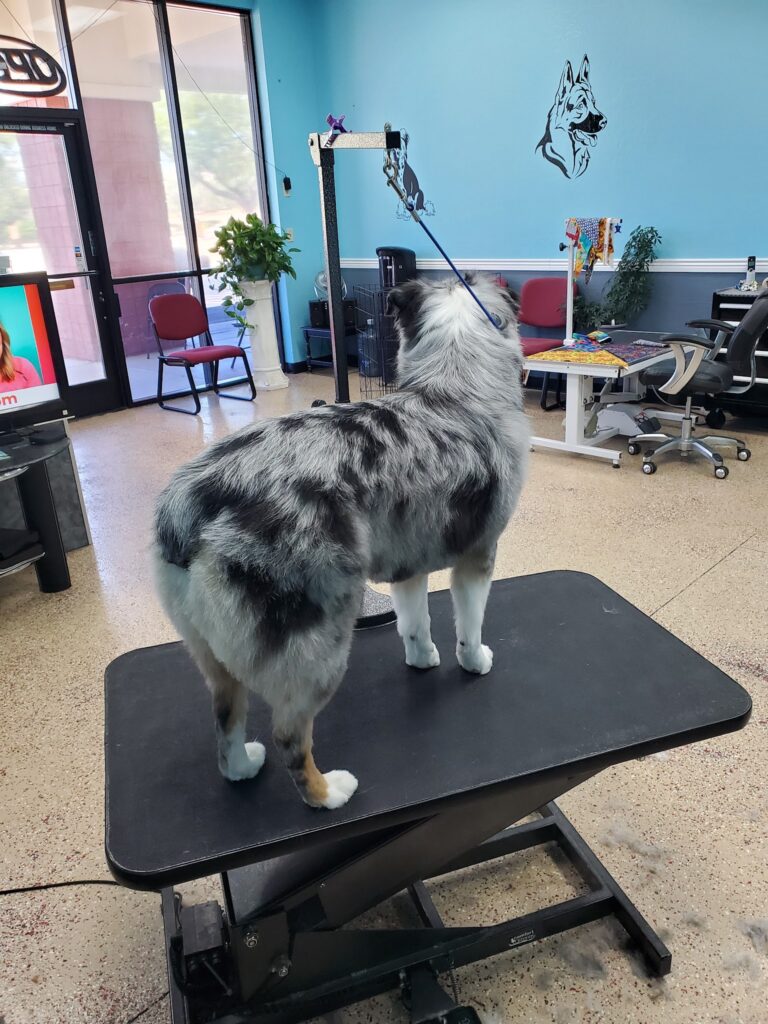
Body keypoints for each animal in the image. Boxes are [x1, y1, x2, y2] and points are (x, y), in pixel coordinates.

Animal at [153, 274, 529, 810]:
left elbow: (414, 622)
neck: (455, 385)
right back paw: (328, 792)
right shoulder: (479, 556)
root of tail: (193, 502)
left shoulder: (408, 560)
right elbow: (469, 624)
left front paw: (422, 659)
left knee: (225, 722)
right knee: (289, 734)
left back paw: (244, 766)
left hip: (211, 653)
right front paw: (474, 662)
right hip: (320, 640)